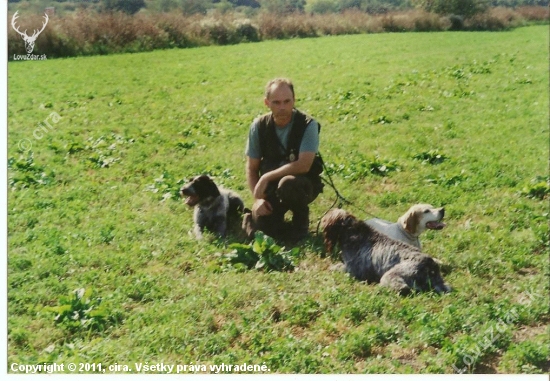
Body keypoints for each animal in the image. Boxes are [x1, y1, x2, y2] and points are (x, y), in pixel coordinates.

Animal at [322, 208, 450, 294]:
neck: (353, 232)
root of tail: (430, 265)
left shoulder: (353, 270)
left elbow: (336, 267)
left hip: (388, 276)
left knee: (403, 289)